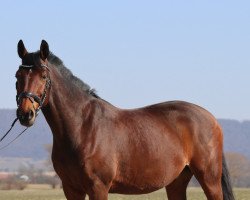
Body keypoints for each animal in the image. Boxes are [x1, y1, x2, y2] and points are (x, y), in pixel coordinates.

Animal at [15, 39, 234, 199]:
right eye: (18, 75)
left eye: (43, 76)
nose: (25, 114)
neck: (82, 127)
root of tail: (211, 118)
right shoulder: (71, 189)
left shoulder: (98, 188)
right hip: (176, 182)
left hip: (209, 179)